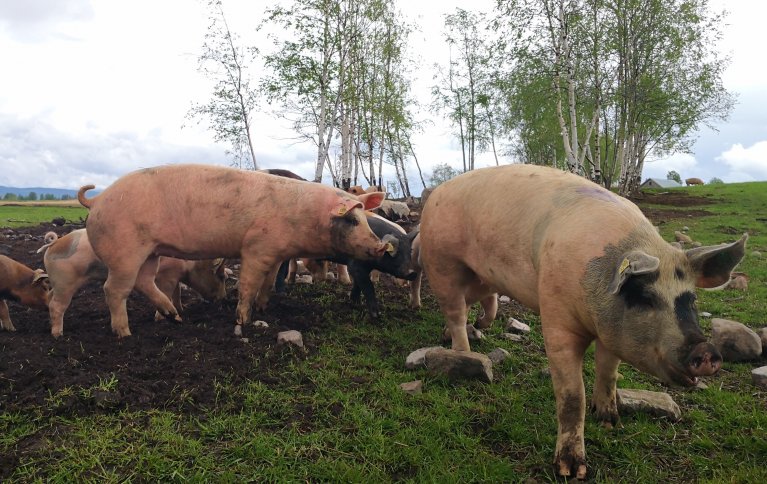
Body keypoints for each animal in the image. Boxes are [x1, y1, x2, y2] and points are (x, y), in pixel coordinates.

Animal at [38, 230, 226, 336]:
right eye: (221, 276)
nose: (223, 299)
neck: (189, 265)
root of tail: (54, 243)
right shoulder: (167, 275)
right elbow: (168, 292)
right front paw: (164, 319)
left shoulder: (175, 277)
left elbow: (177, 293)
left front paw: (182, 309)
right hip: (65, 282)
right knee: (56, 305)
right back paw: (58, 335)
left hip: (57, 283)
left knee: (50, 298)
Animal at [420, 164, 752, 478]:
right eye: (644, 297)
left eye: (690, 299)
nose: (705, 350)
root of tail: (438, 191)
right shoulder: (557, 320)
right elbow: (571, 396)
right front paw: (571, 471)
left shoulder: (612, 334)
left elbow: (608, 372)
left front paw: (610, 422)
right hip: (441, 263)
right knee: (455, 310)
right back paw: (464, 351)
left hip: (482, 275)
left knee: (480, 302)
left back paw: (479, 329)